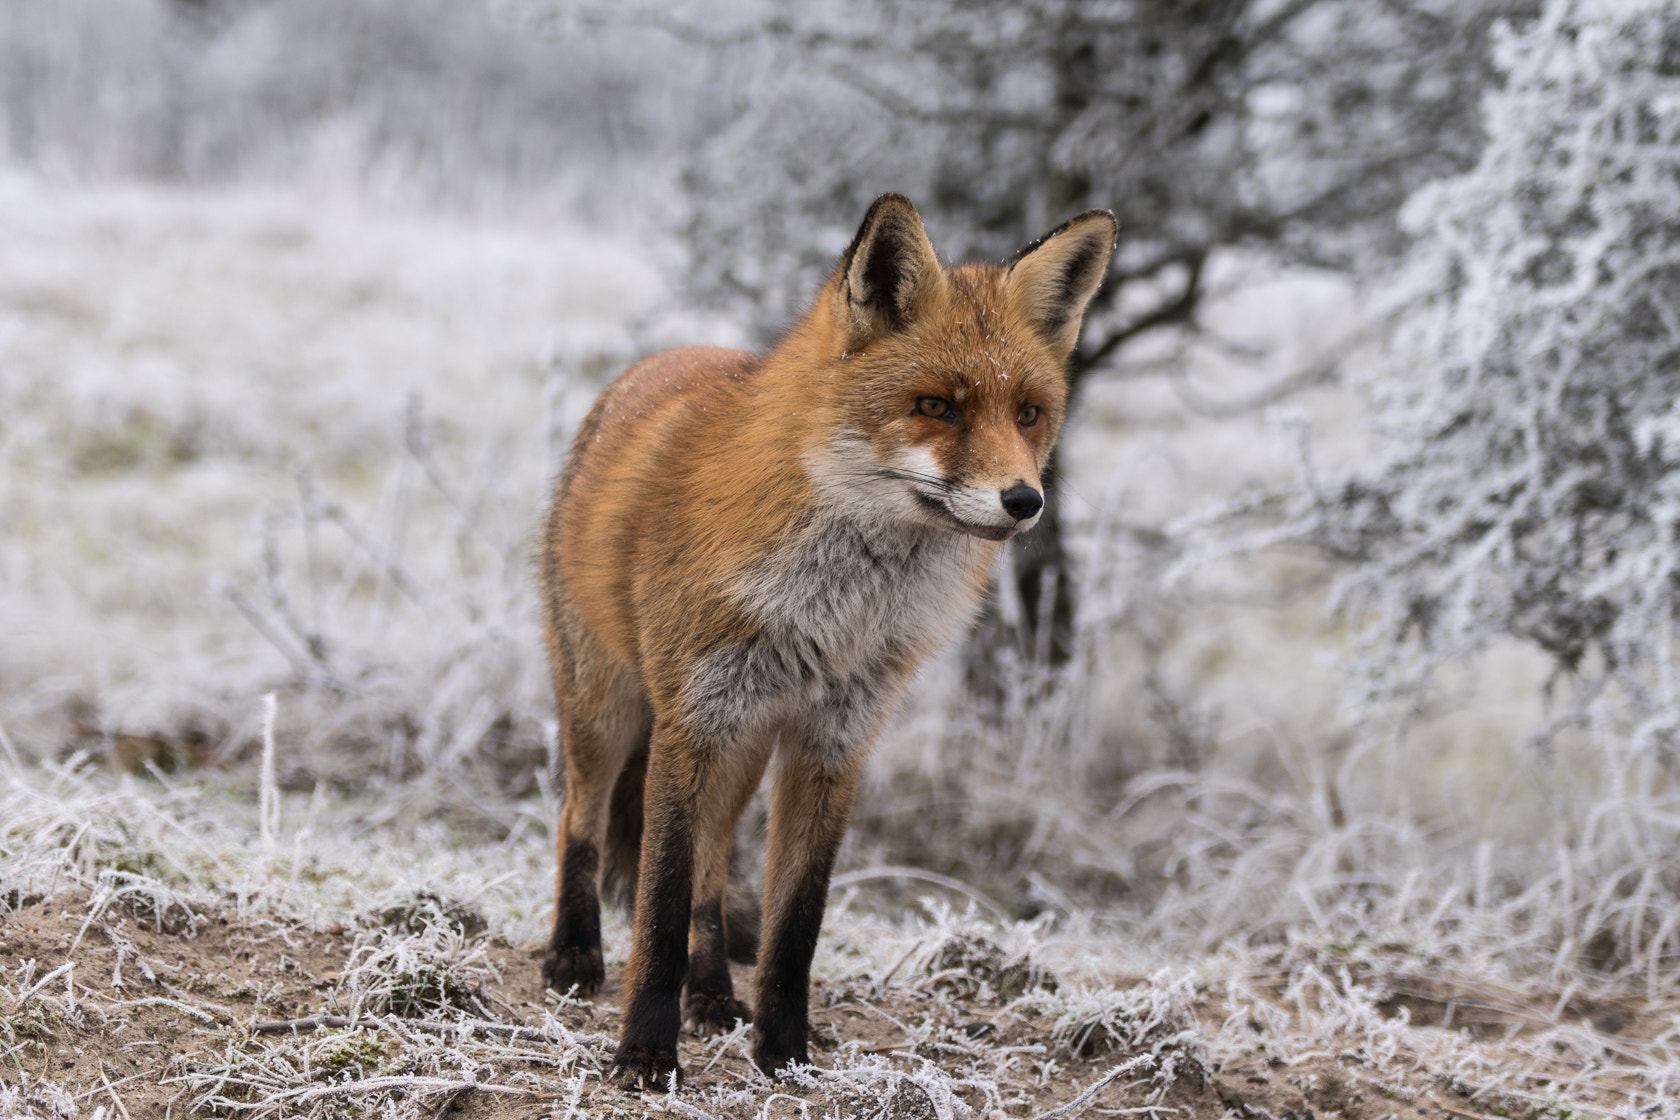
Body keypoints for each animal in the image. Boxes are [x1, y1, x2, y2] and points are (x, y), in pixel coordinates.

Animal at [537, 194, 1115, 1088]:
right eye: (936, 406)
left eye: (1029, 413)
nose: (1025, 502)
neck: (835, 614)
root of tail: (659, 362)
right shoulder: (692, 724)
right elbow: (659, 910)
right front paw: (645, 1053)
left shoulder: (834, 741)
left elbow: (792, 926)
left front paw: (784, 1056)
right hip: (611, 708)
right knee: (582, 820)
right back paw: (575, 954)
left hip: (740, 750)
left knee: (714, 873)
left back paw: (713, 995)